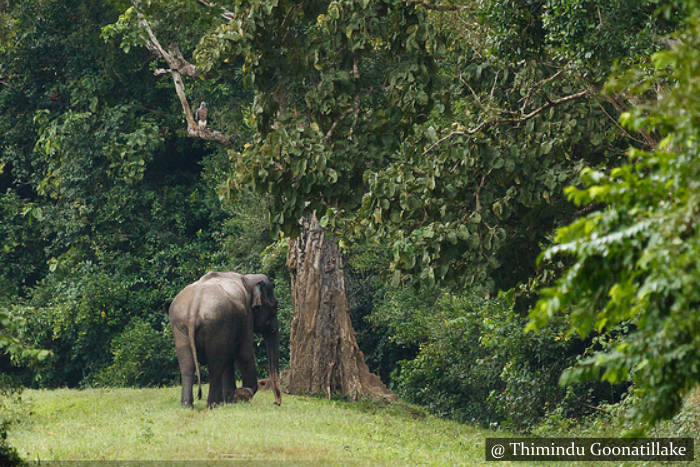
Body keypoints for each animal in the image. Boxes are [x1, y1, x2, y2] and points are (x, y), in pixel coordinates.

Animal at [169, 272, 282, 408]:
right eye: (275, 306)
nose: (276, 403)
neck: (247, 278)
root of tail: (193, 309)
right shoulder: (246, 317)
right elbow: (244, 352)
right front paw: (242, 394)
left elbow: (230, 357)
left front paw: (231, 399)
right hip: (216, 324)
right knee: (215, 367)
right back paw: (213, 405)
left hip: (180, 327)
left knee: (187, 366)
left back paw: (188, 406)